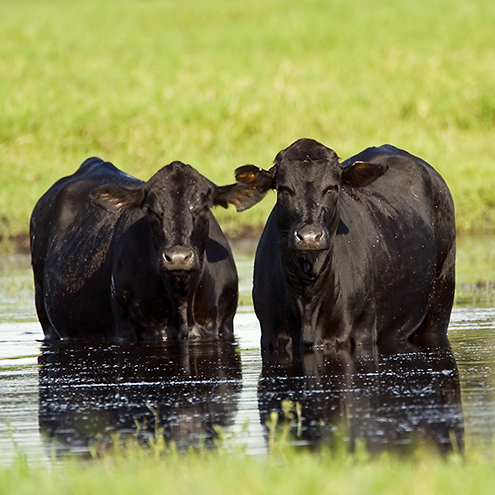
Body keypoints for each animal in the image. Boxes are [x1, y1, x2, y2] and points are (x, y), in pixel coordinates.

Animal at [236, 138, 458, 350]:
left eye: (333, 187)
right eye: (282, 189)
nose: (309, 237)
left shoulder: (361, 334)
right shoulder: (271, 337)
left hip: (441, 303)